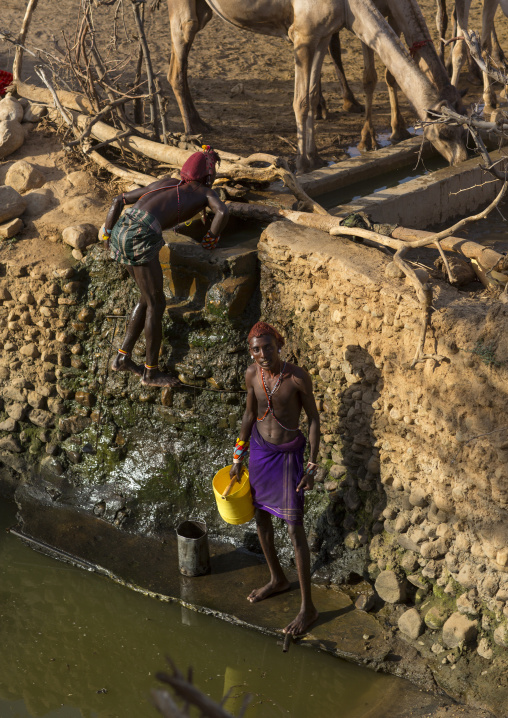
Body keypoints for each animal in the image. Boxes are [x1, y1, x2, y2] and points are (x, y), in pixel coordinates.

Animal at [167, 0, 468, 173]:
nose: (463, 159)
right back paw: (190, 132)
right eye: (444, 133)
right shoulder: (302, 36)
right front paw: (304, 163)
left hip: (204, 9)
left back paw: (199, 124)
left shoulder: (321, 34)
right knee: (178, 58)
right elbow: (300, 100)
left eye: (465, 128)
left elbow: (310, 97)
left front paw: (315, 158)